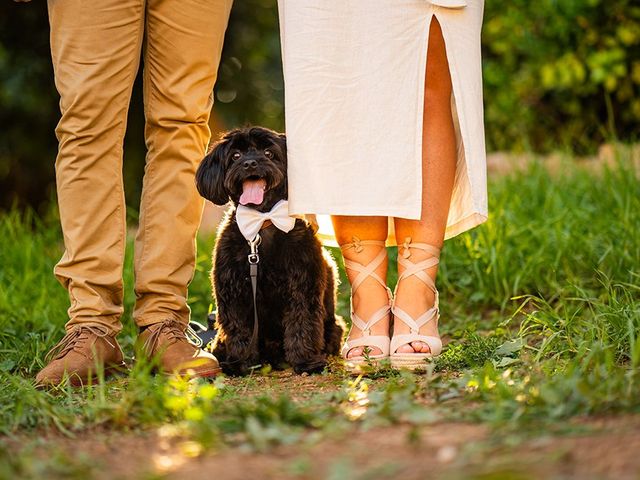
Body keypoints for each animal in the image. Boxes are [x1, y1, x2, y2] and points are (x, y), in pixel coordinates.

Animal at [196, 125, 342, 374]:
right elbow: (238, 328)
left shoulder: (302, 285)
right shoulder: (233, 290)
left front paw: (305, 361)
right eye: (235, 156)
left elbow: (302, 322)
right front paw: (241, 363)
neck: (263, 221)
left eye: (268, 153)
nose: (249, 163)